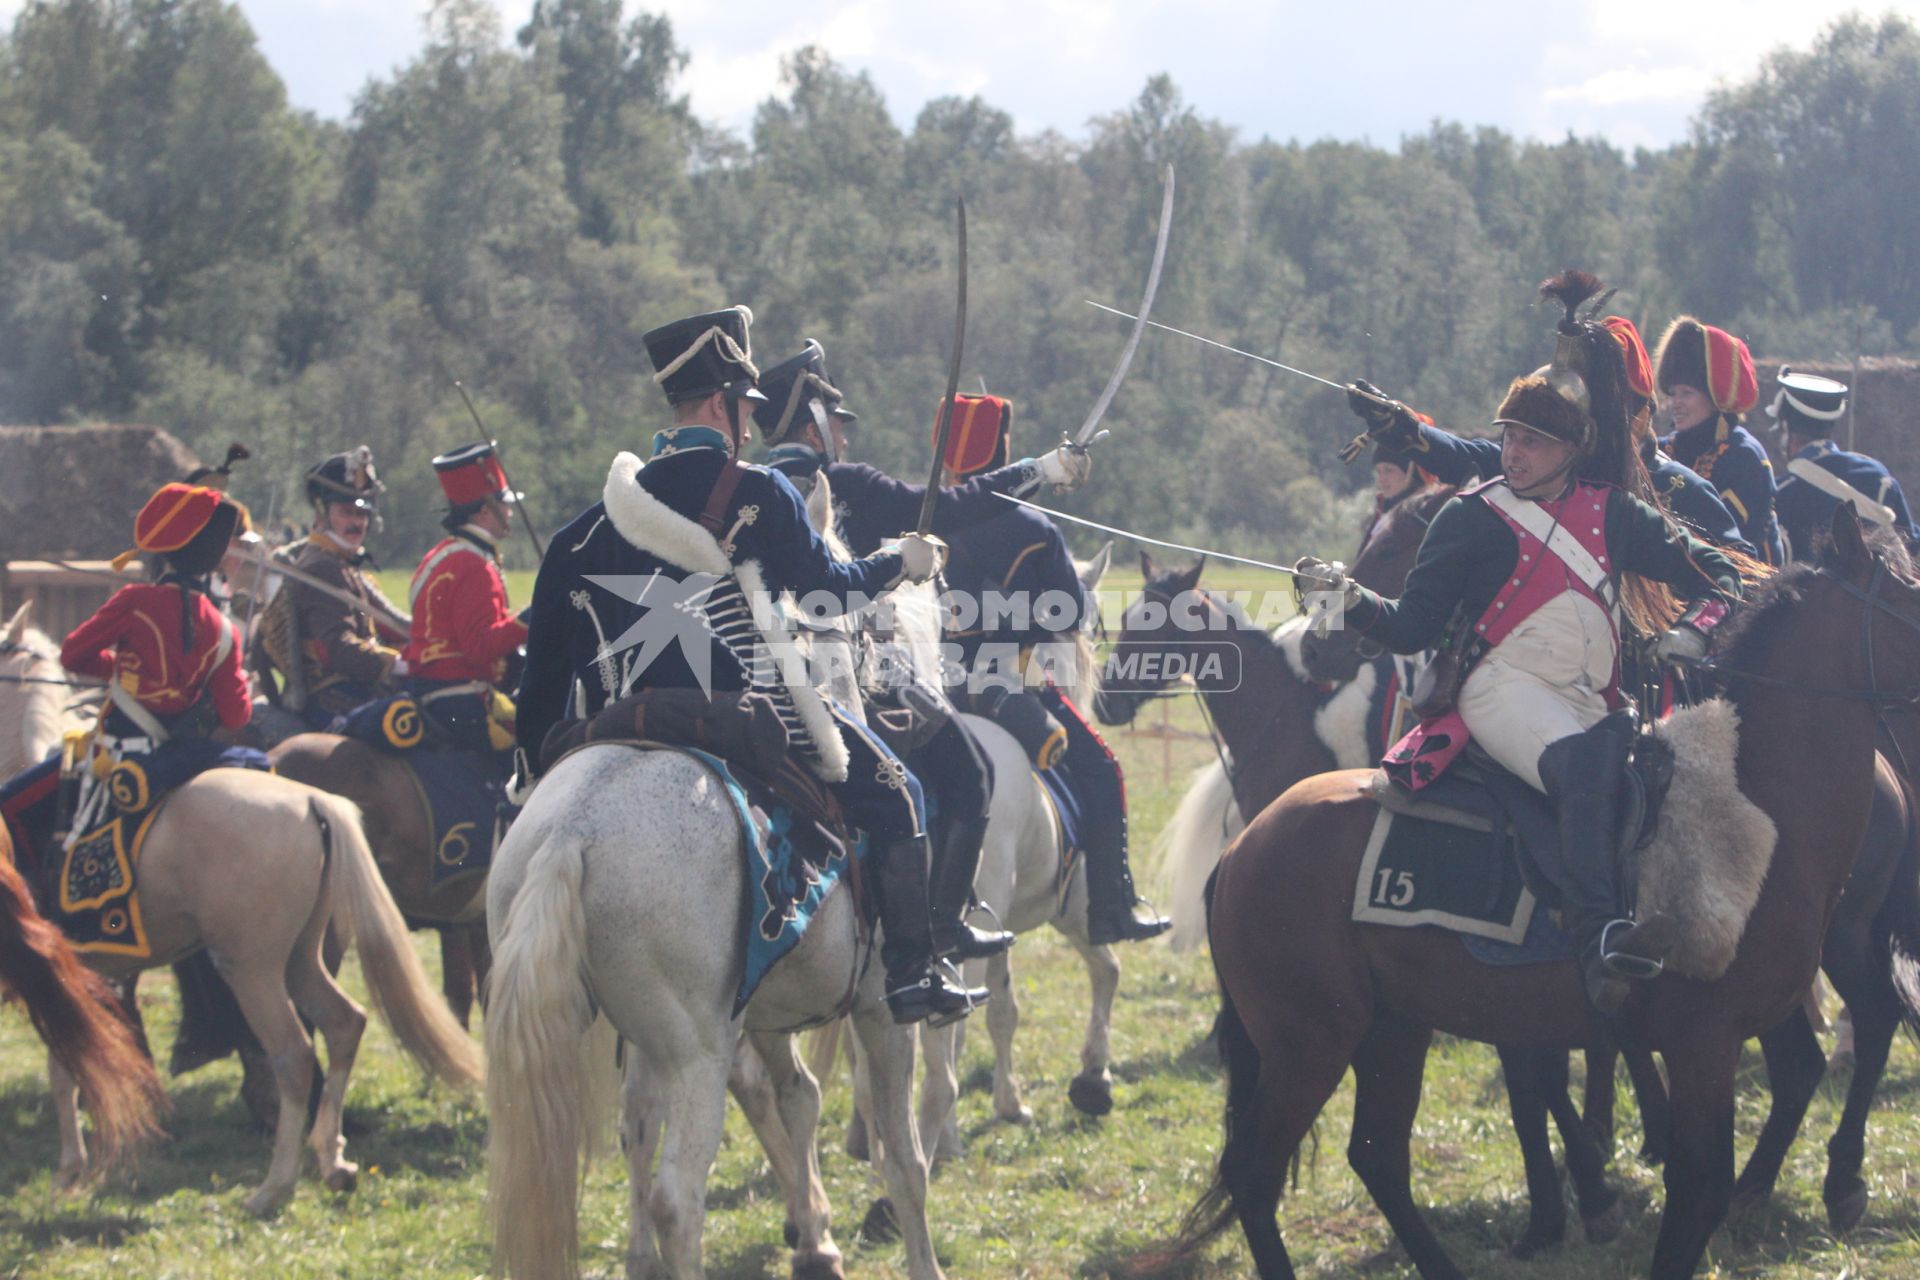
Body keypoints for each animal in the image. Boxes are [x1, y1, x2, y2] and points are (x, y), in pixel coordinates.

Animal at [1152, 506, 1920, 1274]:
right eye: (1910, 596)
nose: (1320, 649)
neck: (1752, 805)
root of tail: (1246, 847)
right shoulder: (1699, 1043)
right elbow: (1687, 1190)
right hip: (1309, 1042)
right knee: (1257, 1171)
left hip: (1390, 1029)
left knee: (1375, 1154)